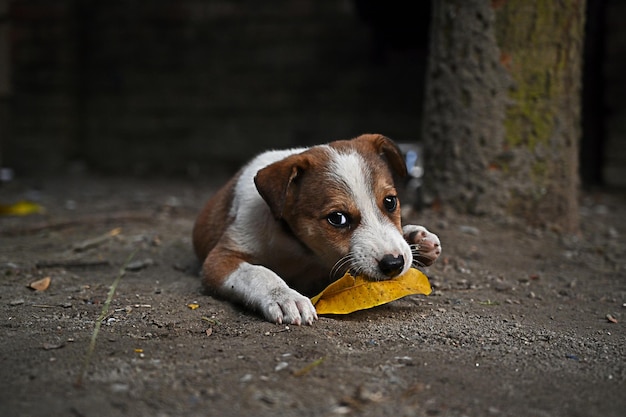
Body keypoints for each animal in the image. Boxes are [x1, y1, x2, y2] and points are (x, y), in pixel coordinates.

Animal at [193, 133, 442, 324]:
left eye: (390, 201)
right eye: (337, 218)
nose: (394, 264)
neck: (297, 245)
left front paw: (415, 240)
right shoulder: (220, 258)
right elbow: (258, 272)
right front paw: (285, 298)